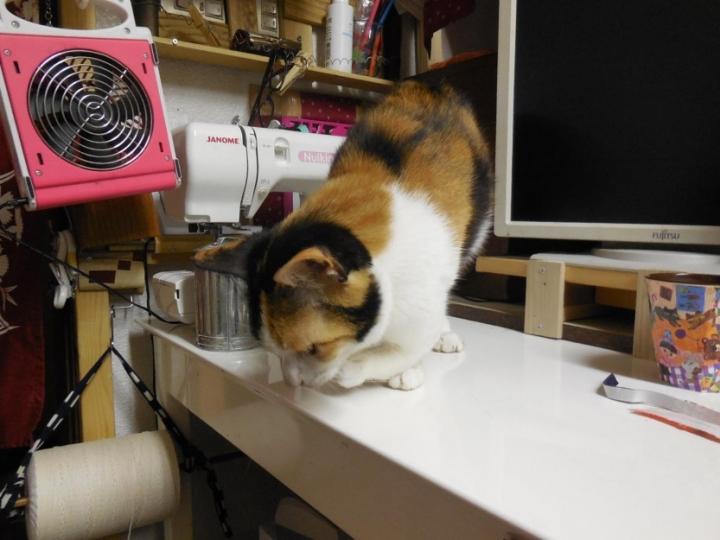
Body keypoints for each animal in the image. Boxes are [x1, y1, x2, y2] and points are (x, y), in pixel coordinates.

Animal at [195, 80, 494, 391]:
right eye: (275, 352)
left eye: (314, 348)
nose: (293, 382)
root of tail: (431, 85)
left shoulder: (421, 309)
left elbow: (404, 350)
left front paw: (364, 368)